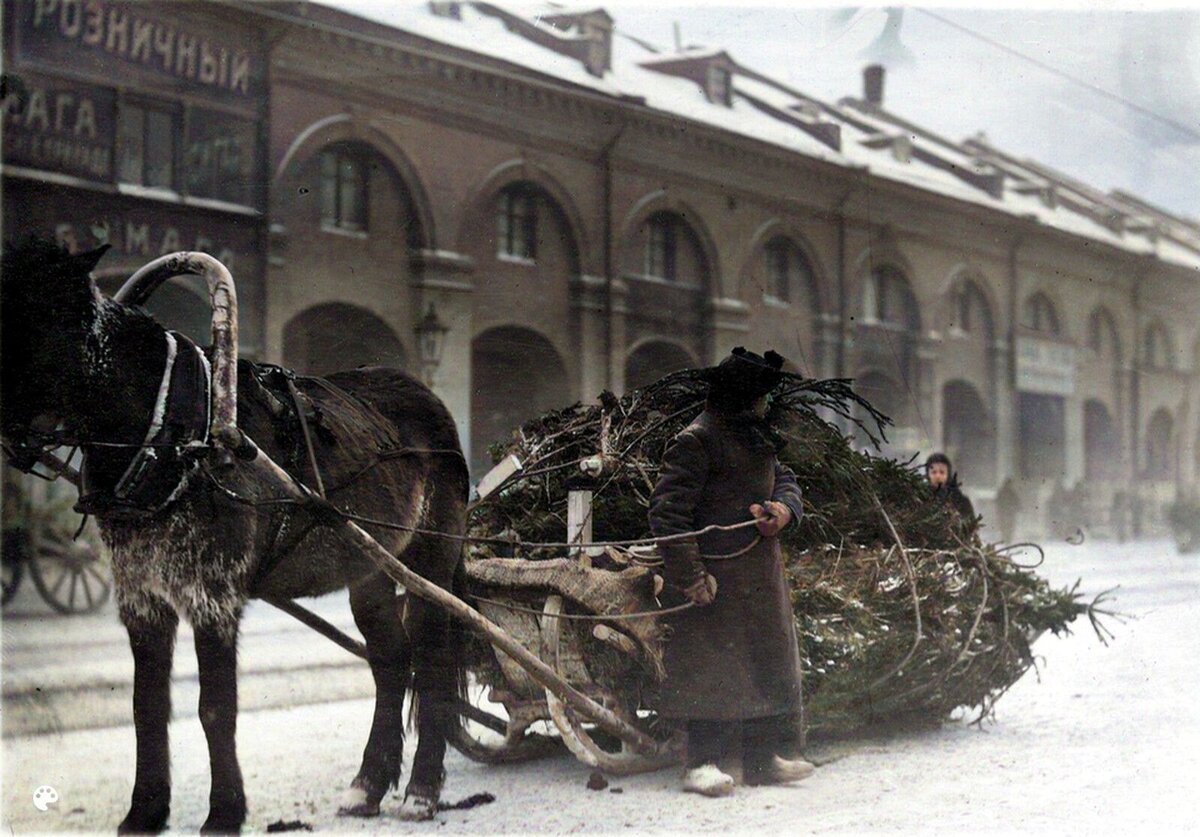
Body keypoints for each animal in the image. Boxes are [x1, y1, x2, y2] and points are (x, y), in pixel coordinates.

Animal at [2, 237, 470, 829]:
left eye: (37, 317)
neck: (175, 432)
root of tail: (430, 400)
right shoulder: (141, 597)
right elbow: (145, 705)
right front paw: (145, 812)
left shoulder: (212, 595)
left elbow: (215, 707)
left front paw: (224, 812)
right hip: (370, 568)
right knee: (391, 662)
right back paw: (367, 785)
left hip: (431, 559)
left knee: (430, 663)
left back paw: (422, 790)